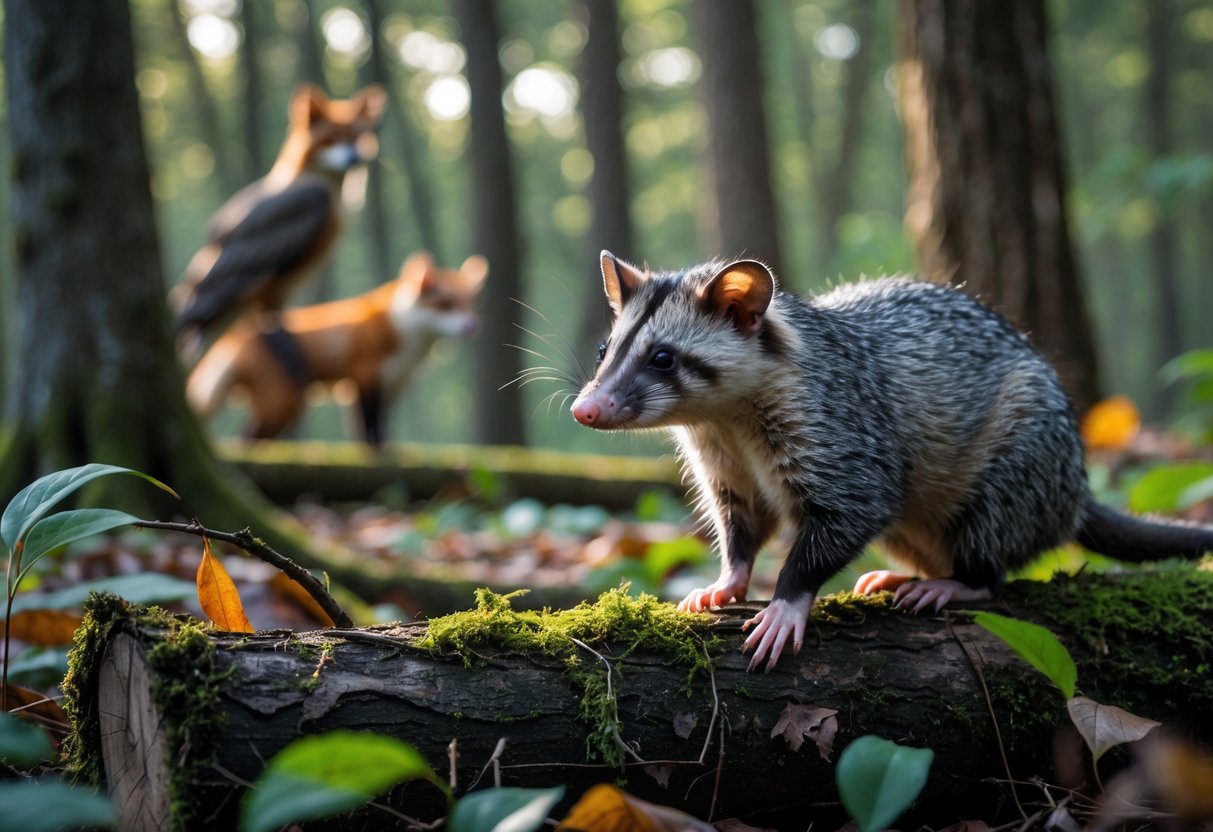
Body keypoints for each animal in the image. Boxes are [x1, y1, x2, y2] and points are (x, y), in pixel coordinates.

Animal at [187, 252, 488, 446]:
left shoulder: (390, 384)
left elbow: (376, 426)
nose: (472, 326)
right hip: (284, 401)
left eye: (471, 304)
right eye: (446, 305)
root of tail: (235, 335)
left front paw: (385, 448)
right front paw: (377, 452)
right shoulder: (365, 375)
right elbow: (370, 424)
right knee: (246, 437)